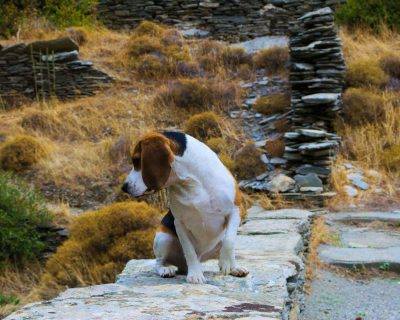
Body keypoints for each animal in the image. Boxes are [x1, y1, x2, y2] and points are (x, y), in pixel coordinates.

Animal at [122, 131, 248, 284]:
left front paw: (227, 264)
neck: (192, 182)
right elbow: (189, 251)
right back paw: (166, 269)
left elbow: (229, 241)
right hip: (163, 237)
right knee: (159, 262)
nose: (124, 187)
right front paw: (195, 275)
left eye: (136, 160)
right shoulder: (180, 223)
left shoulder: (235, 210)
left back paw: (235, 268)